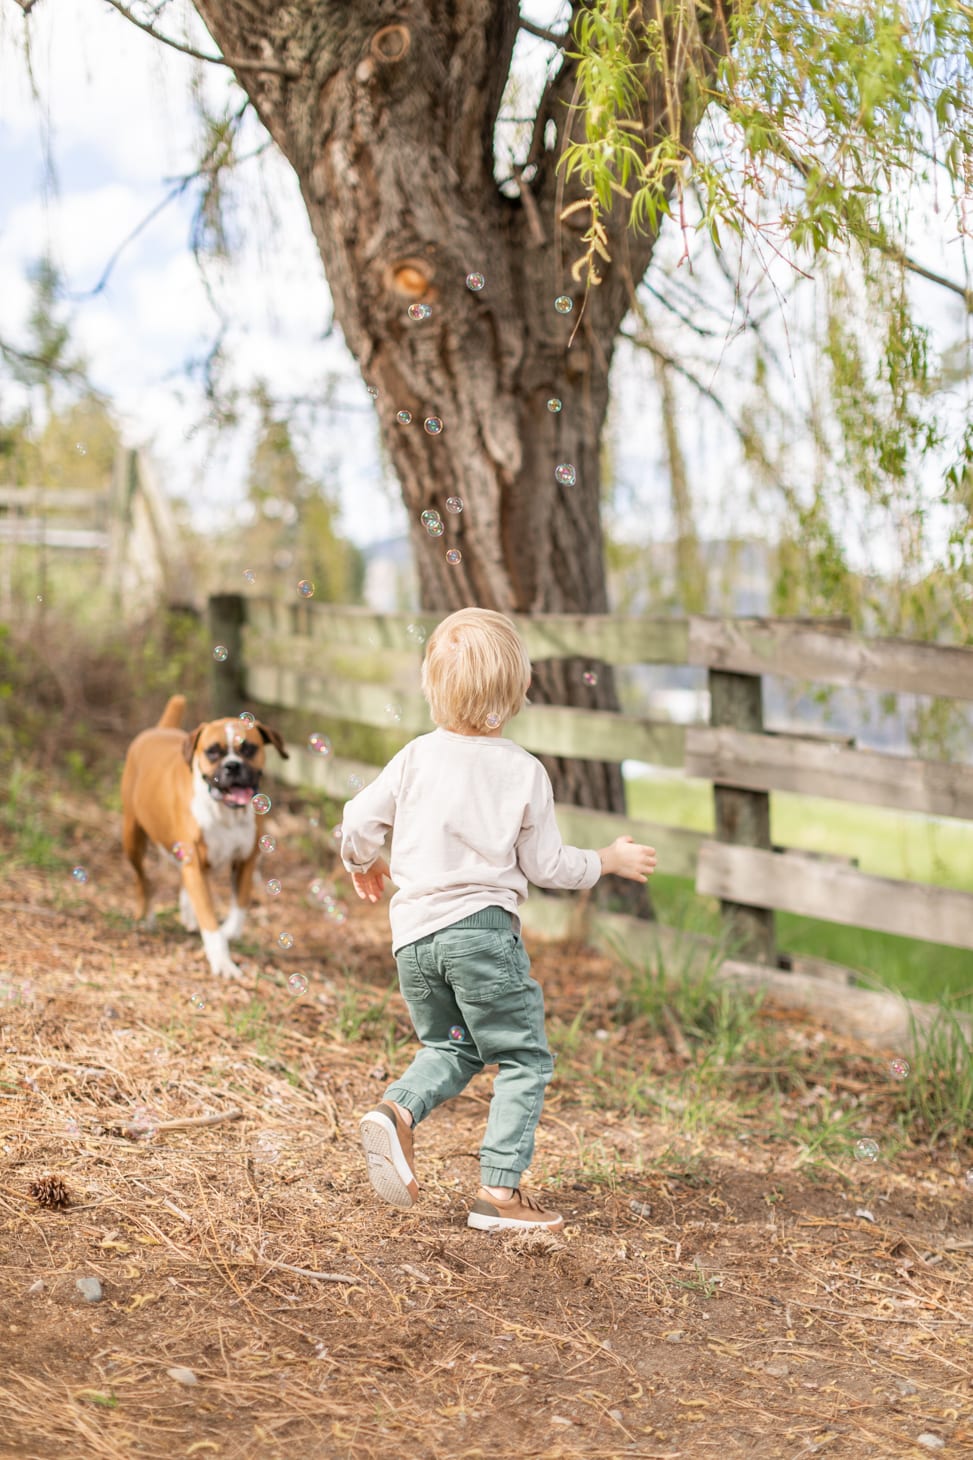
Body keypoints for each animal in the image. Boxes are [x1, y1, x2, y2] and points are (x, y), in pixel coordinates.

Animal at [123, 694, 286, 981]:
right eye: (212, 751)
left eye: (248, 749)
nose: (232, 766)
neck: (225, 812)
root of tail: (159, 729)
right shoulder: (194, 862)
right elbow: (209, 920)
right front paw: (223, 961)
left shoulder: (246, 861)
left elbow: (240, 903)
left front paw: (231, 931)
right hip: (132, 838)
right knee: (142, 879)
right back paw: (147, 916)